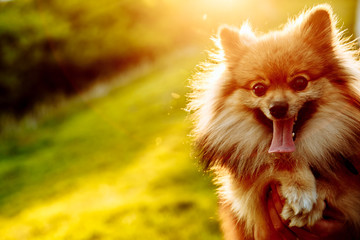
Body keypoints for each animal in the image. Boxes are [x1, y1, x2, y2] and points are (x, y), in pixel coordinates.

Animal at [188, 4, 360, 240]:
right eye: (258, 88)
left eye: (300, 83)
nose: (277, 107)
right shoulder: (249, 189)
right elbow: (272, 163)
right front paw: (300, 189)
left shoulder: (351, 183)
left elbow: (339, 184)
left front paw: (312, 203)